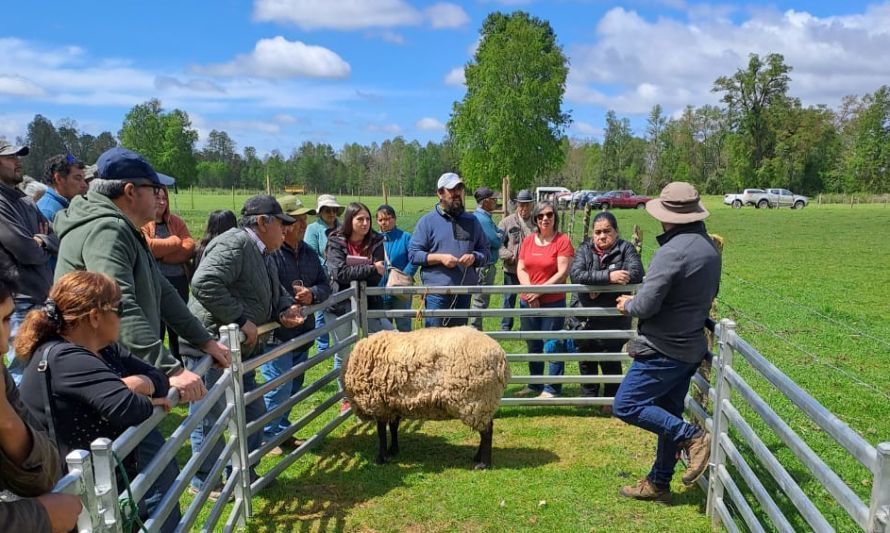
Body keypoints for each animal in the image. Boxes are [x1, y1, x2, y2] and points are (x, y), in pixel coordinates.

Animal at [340, 324, 506, 470]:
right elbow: (393, 428)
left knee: (487, 431)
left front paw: (381, 458)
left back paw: (483, 463)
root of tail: (501, 358)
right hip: (483, 401)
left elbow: (381, 433)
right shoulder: (393, 403)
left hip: (478, 400)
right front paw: (393, 450)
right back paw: (477, 457)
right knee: (485, 429)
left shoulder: (379, 405)